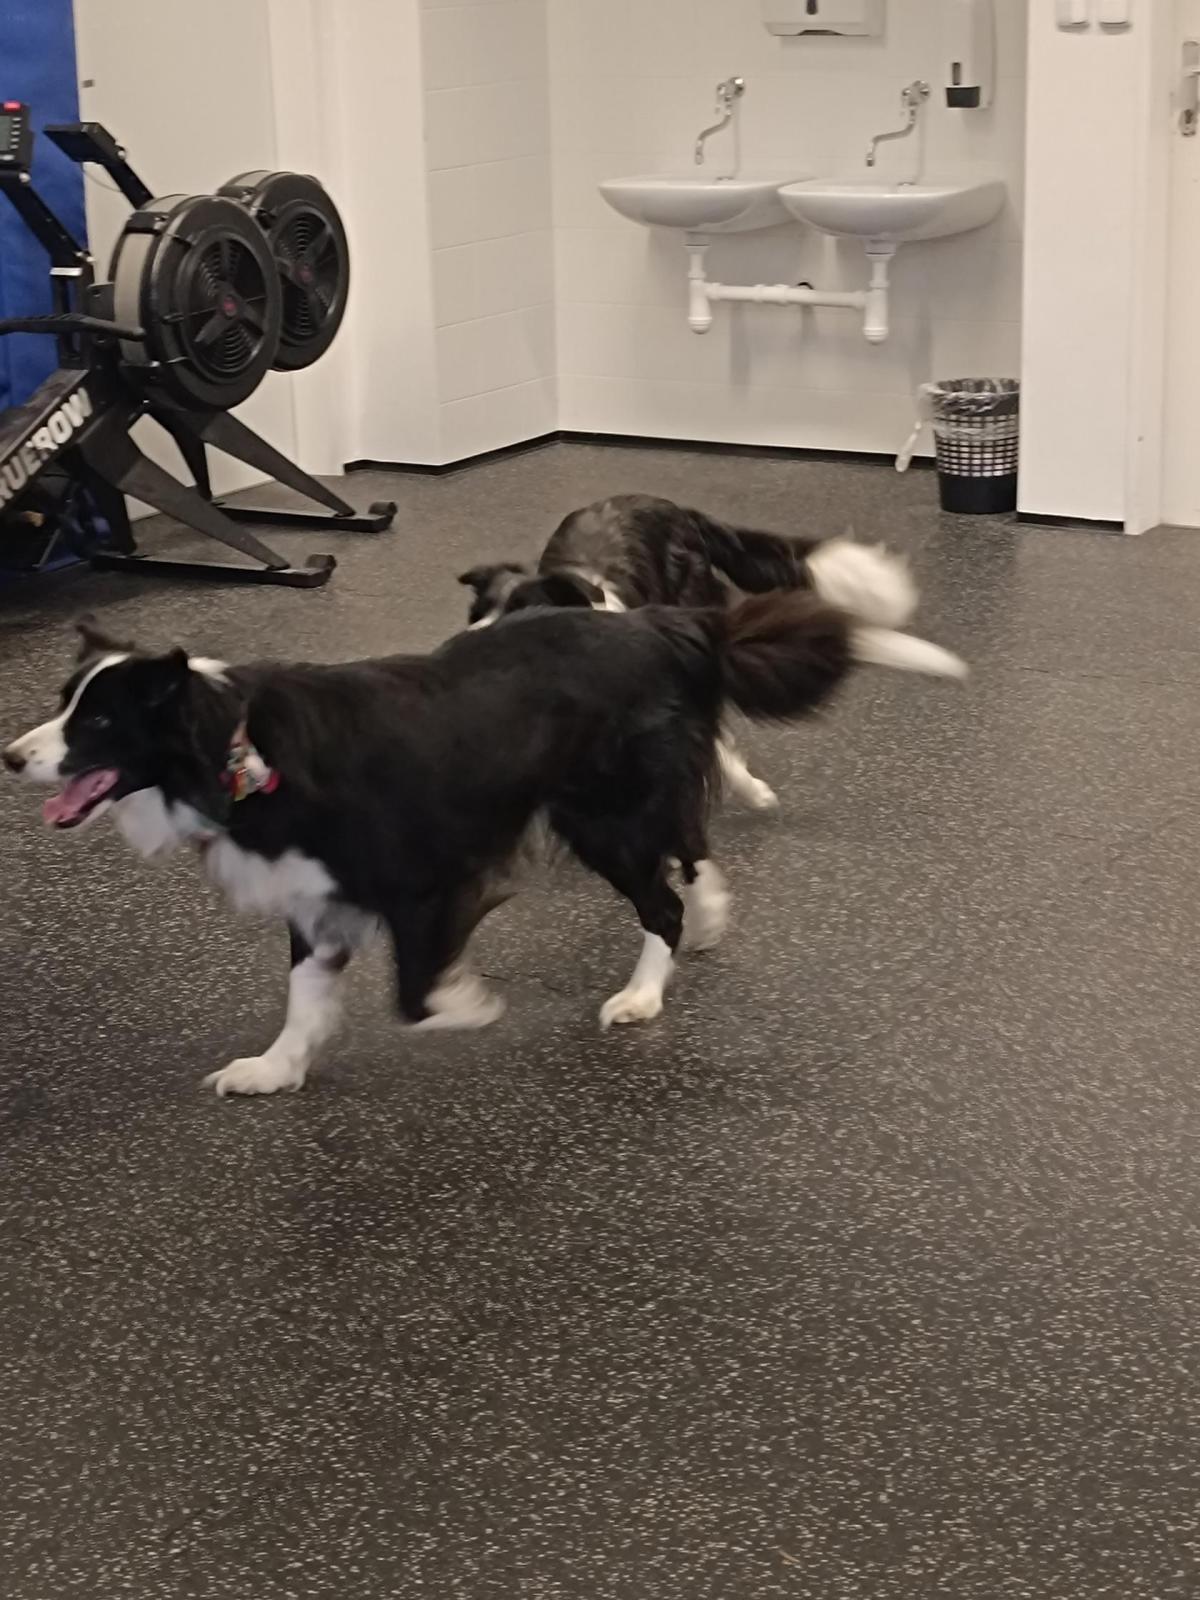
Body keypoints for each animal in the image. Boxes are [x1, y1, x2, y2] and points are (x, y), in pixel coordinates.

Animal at [4, 598, 964, 1098]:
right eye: (63, 703)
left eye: (98, 722)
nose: (12, 756)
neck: (240, 751)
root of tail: (665, 625)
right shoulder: (314, 897)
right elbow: (305, 1000)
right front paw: (275, 1069)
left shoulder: (429, 878)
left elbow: (415, 992)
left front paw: (470, 1004)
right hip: (622, 805)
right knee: (689, 853)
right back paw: (711, 920)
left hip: (602, 816)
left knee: (660, 895)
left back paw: (643, 996)